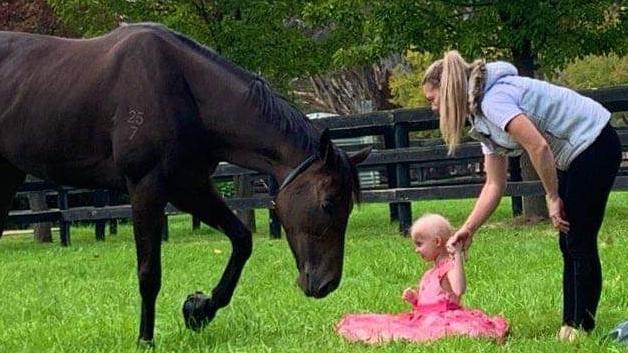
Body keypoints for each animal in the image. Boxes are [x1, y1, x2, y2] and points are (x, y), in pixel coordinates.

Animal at [0, 22, 370, 344]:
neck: (183, 88)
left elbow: (242, 240)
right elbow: (149, 273)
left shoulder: (189, 187)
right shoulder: (147, 189)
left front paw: (199, 309)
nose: (326, 284)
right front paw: (146, 339)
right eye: (328, 203)